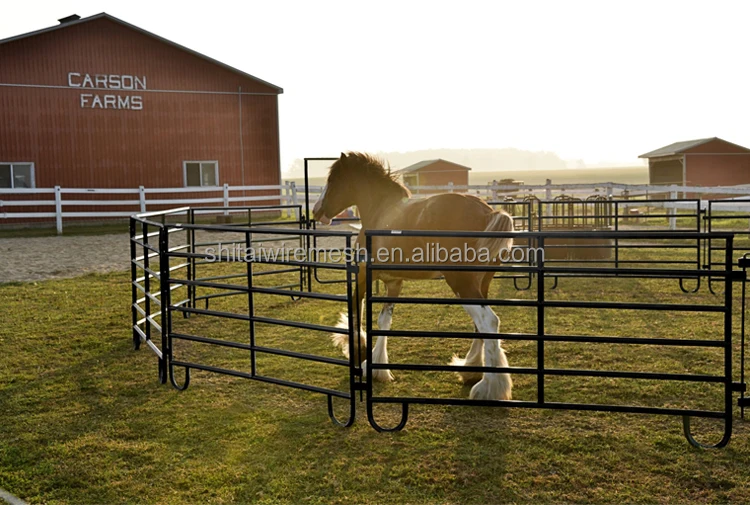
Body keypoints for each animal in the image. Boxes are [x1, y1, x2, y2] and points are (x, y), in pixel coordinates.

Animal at [312, 152, 516, 400]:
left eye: (333, 179)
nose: (316, 210)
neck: (381, 212)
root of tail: (489, 212)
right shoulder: (393, 283)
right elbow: (384, 321)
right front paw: (377, 367)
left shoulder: (362, 277)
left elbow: (355, 313)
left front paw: (359, 353)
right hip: (481, 283)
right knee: (480, 325)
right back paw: (471, 370)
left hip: (461, 283)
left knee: (488, 321)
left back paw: (489, 387)